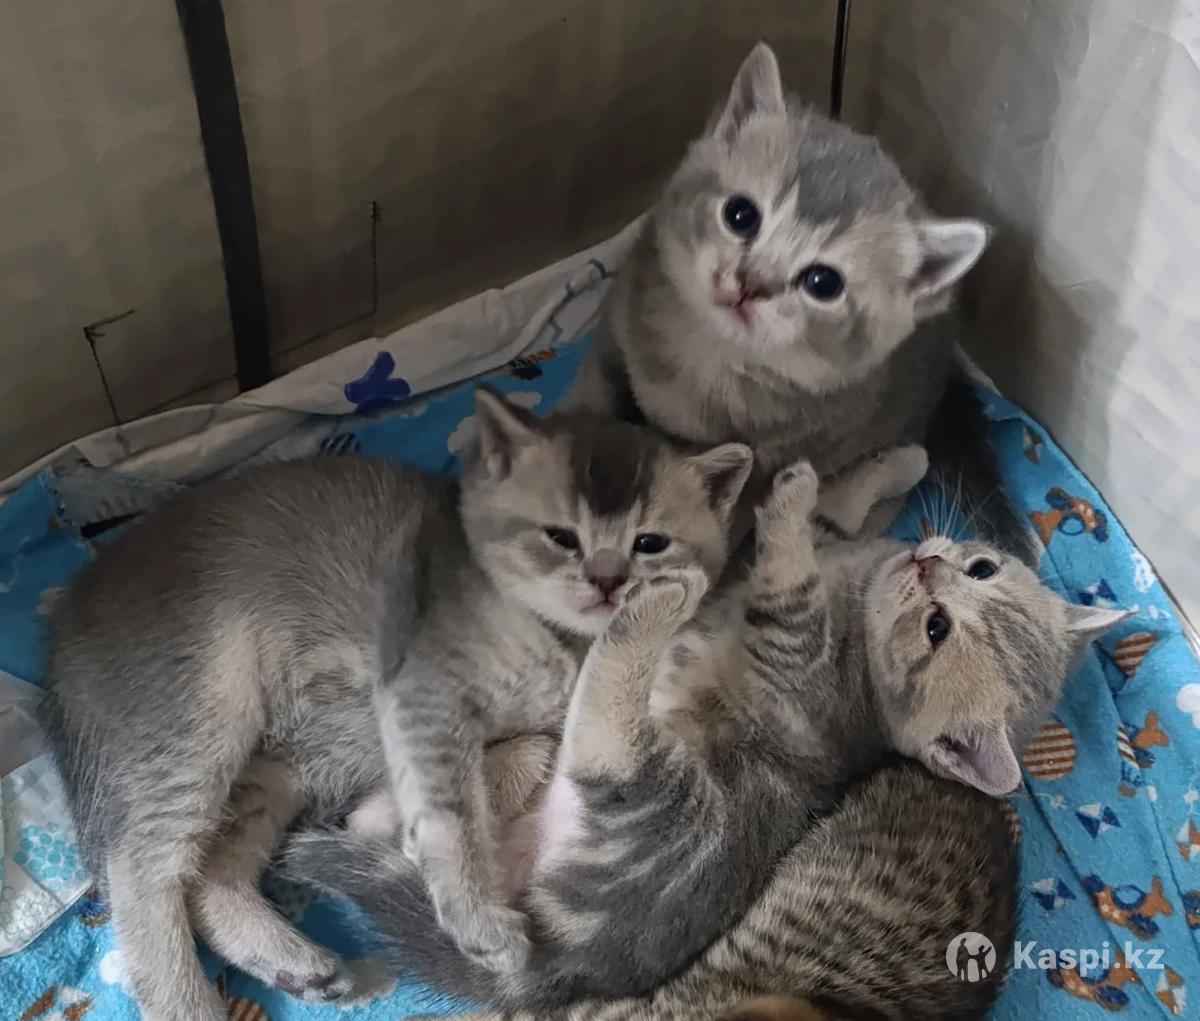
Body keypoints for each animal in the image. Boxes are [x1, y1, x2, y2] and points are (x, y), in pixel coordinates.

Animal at [40, 390, 752, 1021]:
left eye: (651, 543)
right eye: (562, 537)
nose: (608, 582)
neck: (551, 637)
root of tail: (71, 610)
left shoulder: (518, 722)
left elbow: (523, 751)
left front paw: (378, 816)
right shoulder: (421, 692)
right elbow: (452, 806)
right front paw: (476, 918)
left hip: (276, 769)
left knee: (210, 870)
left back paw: (293, 962)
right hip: (205, 713)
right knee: (140, 866)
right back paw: (189, 1005)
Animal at [284, 456, 1128, 1010]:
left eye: (937, 628)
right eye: (981, 567)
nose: (928, 565)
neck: (857, 592)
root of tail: (569, 956)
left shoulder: (794, 642)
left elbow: (787, 570)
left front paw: (790, 506)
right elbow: (839, 513)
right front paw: (884, 466)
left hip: (661, 795)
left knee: (606, 736)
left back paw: (661, 598)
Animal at [569, 42, 1030, 560]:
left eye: (822, 282)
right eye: (741, 215)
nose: (750, 284)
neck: (706, 360)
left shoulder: (775, 462)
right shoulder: (616, 323)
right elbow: (592, 399)